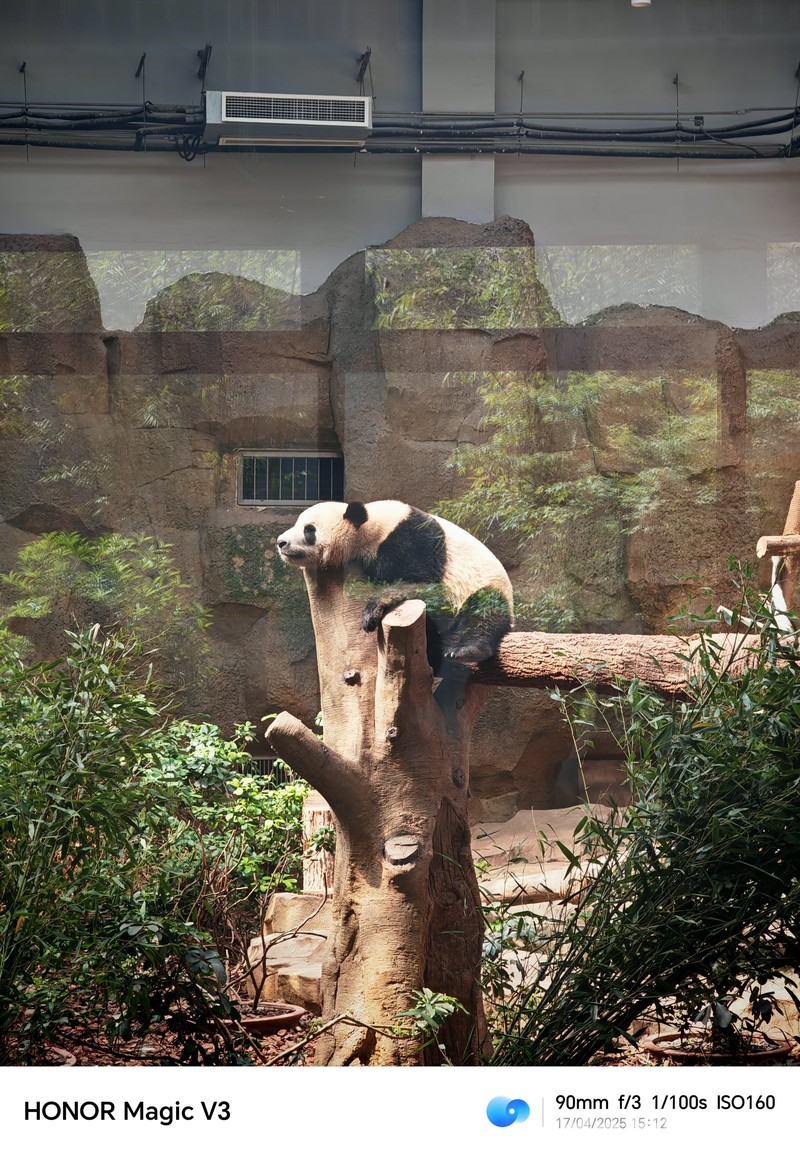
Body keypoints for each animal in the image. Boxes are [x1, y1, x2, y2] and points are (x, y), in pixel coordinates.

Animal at [276, 499, 513, 674]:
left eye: (309, 530)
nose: (281, 542)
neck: (370, 528)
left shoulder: (412, 540)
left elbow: (429, 587)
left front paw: (372, 612)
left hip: (486, 584)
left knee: (484, 612)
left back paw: (466, 649)